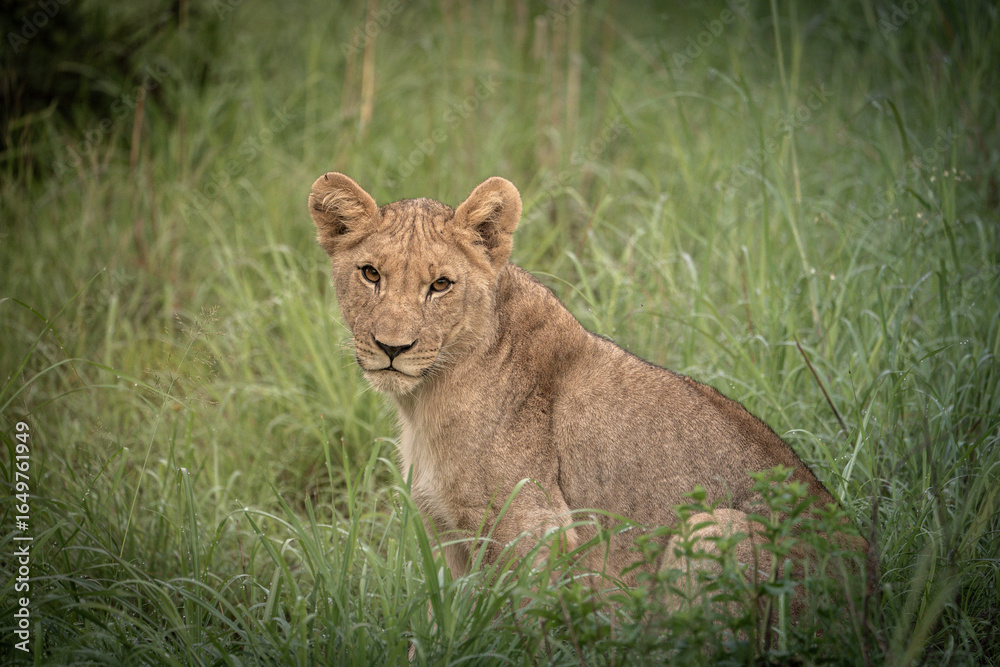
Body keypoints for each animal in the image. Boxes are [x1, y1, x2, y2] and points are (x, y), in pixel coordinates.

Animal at [307, 172, 867, 609]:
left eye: (440, 285)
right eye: (370, 274)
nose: (391, 347)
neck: (425, 397)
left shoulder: (537, 530)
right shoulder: (452, 539)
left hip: (714, 528)